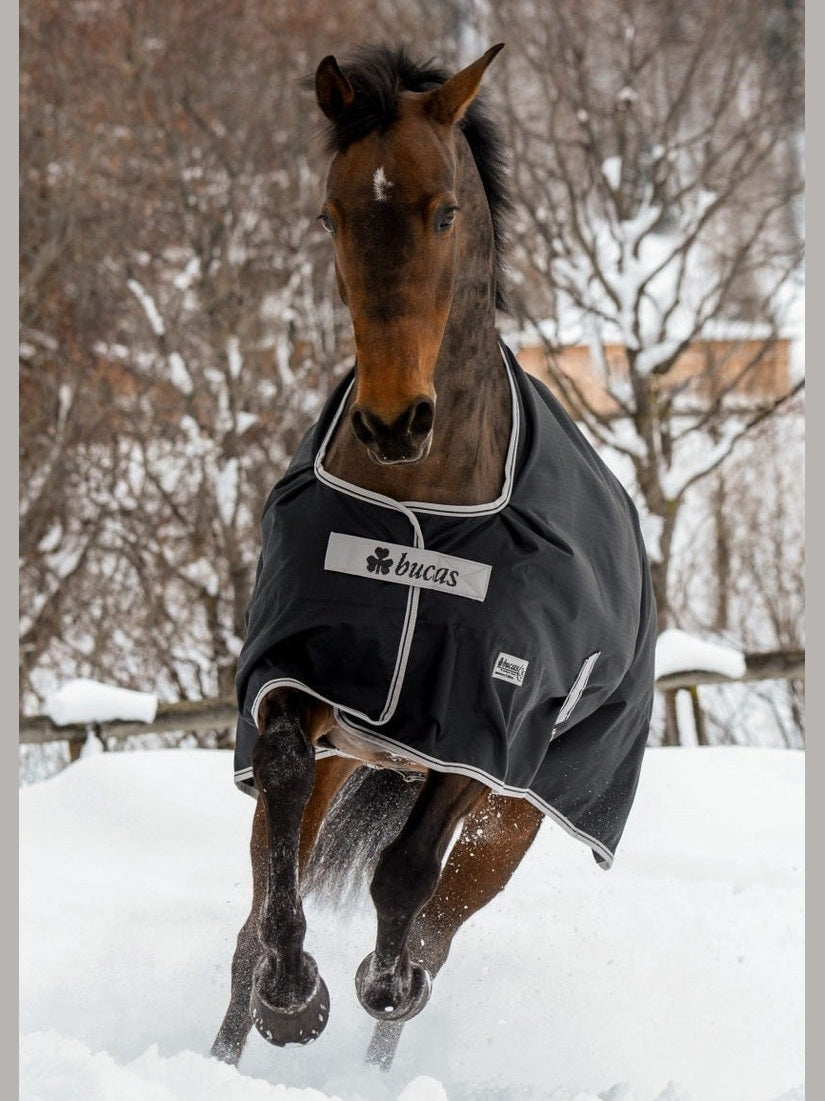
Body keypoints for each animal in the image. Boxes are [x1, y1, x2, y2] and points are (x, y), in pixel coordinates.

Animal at [211, 42, 657, 1072]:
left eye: (444, 211)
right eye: (331, 214)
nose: (392, 421)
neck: (420, 514)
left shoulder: (484, 732)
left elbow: (405, 876)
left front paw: (382, 980)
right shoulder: (300, 681)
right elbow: (280, 801)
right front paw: (293, 996)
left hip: (516, 820)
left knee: (437, 936)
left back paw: (385, 1031)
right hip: (357, 760)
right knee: (251, 921)